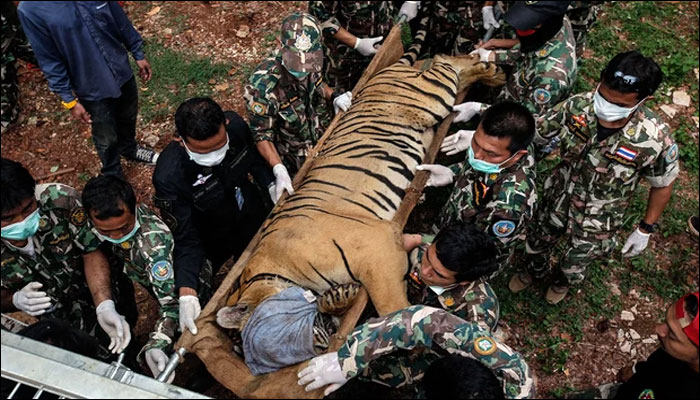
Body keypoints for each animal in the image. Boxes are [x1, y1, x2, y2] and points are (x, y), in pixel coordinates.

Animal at [216, 52, 506, 334]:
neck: (270, 270)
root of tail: (389, 69)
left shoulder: (377, 246)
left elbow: (391, 307)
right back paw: (490, 69)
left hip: (430, 96)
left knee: (444, 63)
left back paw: (490, 70)